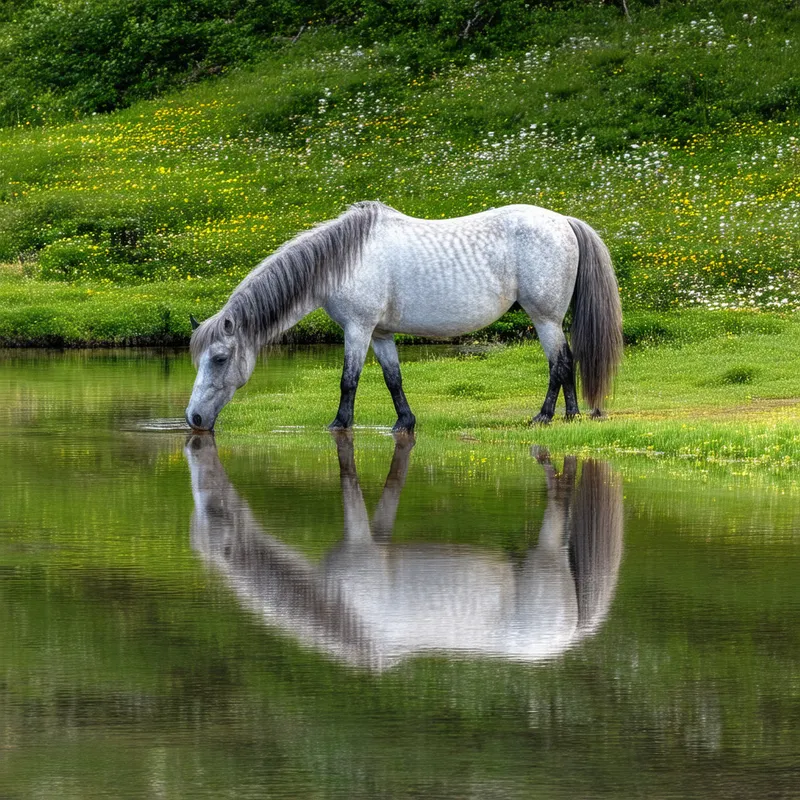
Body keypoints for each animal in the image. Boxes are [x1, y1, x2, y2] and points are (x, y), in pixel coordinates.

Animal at [186, 201, 623, 432]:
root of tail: (564, 221)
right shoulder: (380, 333)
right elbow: (393, 378)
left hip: (544, 318)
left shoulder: (358, 329)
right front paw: (405, 422)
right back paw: (571, 415)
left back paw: (546, 416)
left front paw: (340, 423)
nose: (193, 418)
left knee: (558, 362)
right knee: (568, 361)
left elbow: (349, 380)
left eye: (220, 358)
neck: (344, 260)